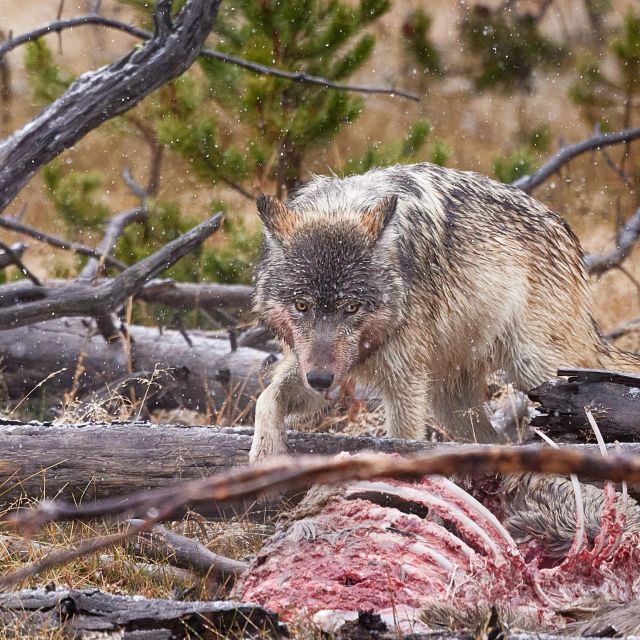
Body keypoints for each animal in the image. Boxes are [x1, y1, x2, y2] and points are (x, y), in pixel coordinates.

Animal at [250, 161, 640, 460]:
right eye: (302, 305)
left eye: (351, 307)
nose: (320, 380)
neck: (342, 207)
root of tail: (567, 234)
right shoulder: (310, 363)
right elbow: (266, 398)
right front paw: (265, 452)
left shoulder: (405, 382)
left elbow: (404, 440)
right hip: (449, 403)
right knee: (494, 441)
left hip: (538, 370)